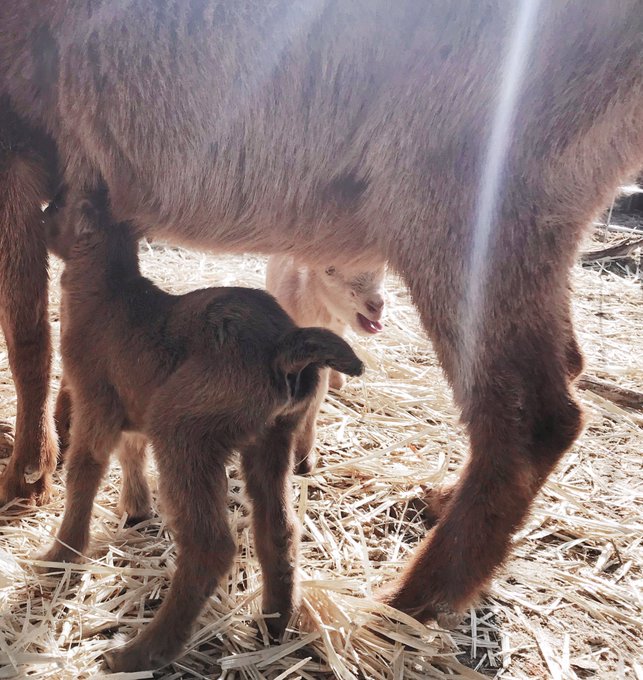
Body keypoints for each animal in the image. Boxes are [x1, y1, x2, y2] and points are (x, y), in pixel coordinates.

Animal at [40, 186, 363, 672]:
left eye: (60, 206)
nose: (41, 212)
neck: (107, 292)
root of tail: (281, 346)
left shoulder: (95, 398)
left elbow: (84, 471)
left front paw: (61, 555)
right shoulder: (134, 403)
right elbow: (130, 452)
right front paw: (135, 508)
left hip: (185, 429)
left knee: (211, 547)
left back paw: (139, 653)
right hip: (272, 438)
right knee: (279, 528)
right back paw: (272, 624)